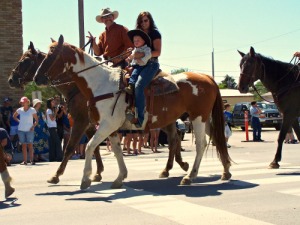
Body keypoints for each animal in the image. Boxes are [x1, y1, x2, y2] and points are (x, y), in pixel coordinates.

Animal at [7, 41, 105, 184]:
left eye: (25, 60)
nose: (11, 79)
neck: (77, 86)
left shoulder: (81, 121)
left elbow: (70, 148)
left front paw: (56, 175)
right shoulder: (88, 123)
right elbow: (94, 146)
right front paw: (98, 173)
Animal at [33, 35, 232, 190]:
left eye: (51, 55)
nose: (37, 78)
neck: (101, 84)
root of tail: (207, 77)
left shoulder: (105, 124)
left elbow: (88, 146)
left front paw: (85, 179)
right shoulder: (110, 128)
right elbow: (116, 150)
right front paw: (119, 177)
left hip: (198, 118)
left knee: (201, 144)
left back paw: (190, 176)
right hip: (205, 119)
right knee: (216, 138)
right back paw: (225, 171)